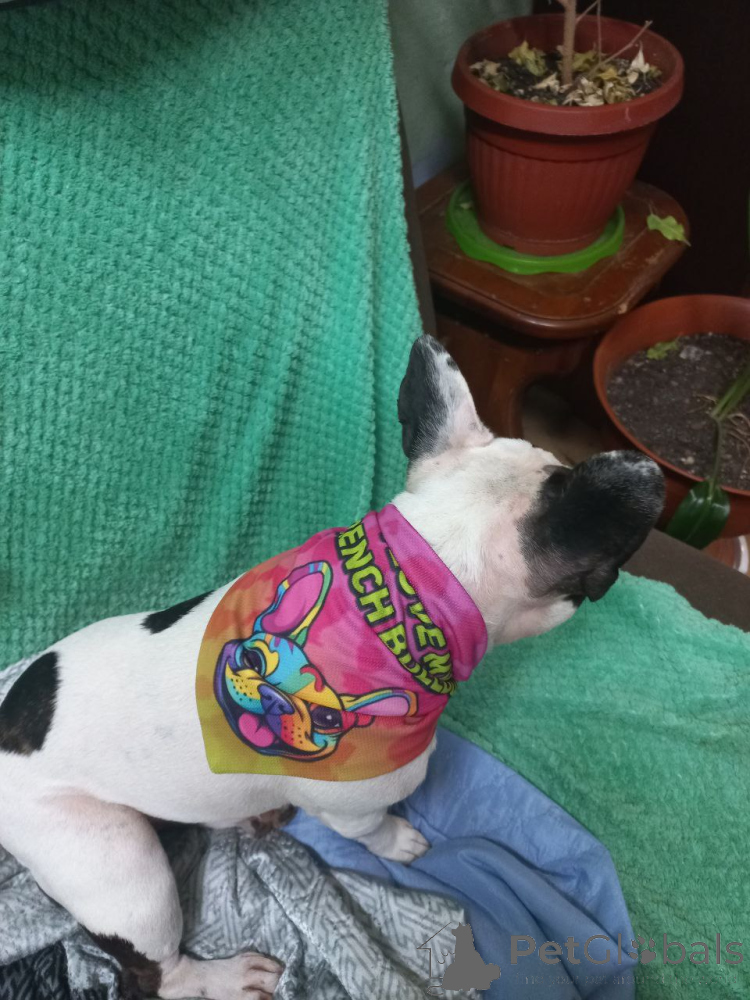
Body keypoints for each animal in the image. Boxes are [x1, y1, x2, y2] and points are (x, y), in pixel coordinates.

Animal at [0, 335, 664, 1000]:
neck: (411, 588)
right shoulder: (357, 807)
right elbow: (373, 832)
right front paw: (399, 841)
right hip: (117, 866)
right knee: (154, 968)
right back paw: (223, 976)